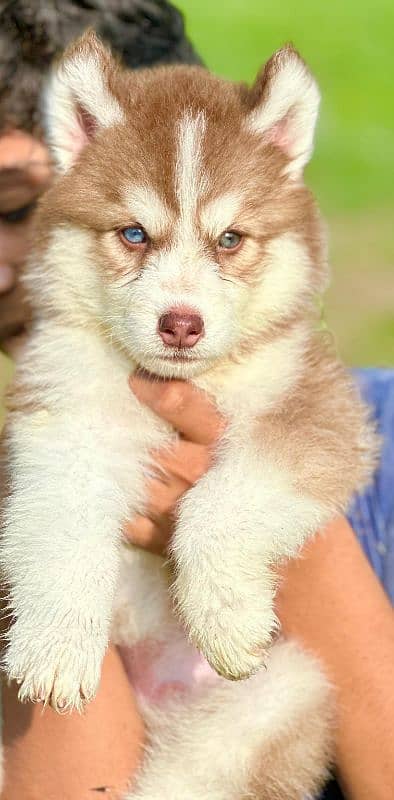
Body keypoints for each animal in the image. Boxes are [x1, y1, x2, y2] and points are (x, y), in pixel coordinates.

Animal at [0, 32, 376, 800]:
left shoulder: (314, 409)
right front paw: (56, 642)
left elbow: (224, 500)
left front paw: (226, 612)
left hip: (279, 693)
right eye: (134, 234)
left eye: (229, 240)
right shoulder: (63, 413)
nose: (181, 323)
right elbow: (60, 521)